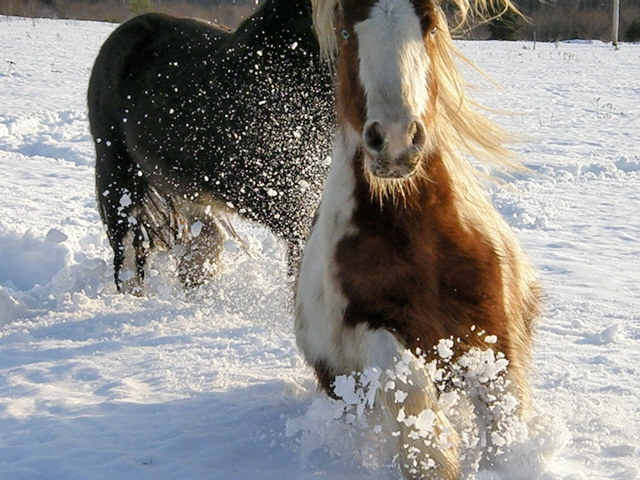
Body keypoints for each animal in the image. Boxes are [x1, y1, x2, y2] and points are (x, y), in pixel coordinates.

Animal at [296, 0, 540, 476]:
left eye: (427, 26)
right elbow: (405, 382)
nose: (394, 141)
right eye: (346, 32)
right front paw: (433, 454)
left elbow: (507, 420)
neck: (419, 239)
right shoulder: (364, 329)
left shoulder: (496, 332)